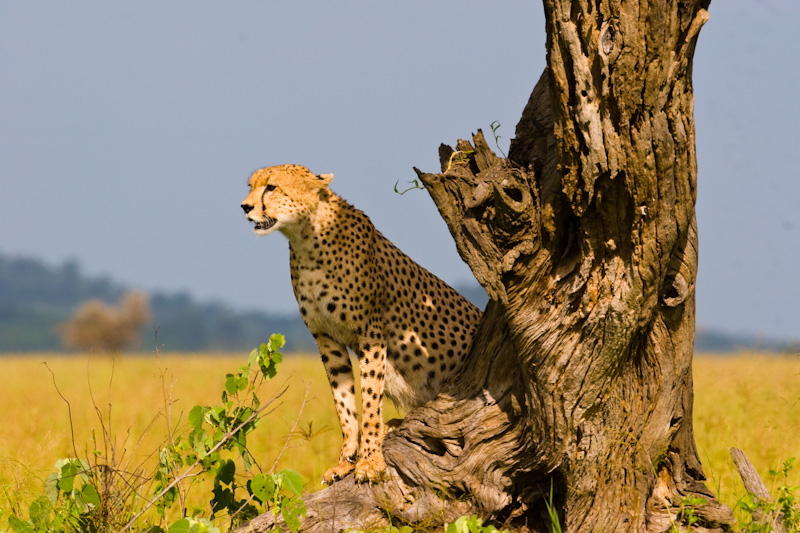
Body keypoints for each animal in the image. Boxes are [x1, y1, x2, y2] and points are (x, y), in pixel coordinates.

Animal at [241, 164, 482, 484]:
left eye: (271, 187)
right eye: (251, 186)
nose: (245, 206)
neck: (306, 237)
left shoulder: (371, 332)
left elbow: (369, 399)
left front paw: (369, 461)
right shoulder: (326, 337)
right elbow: (343, 402)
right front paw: (345, 461)